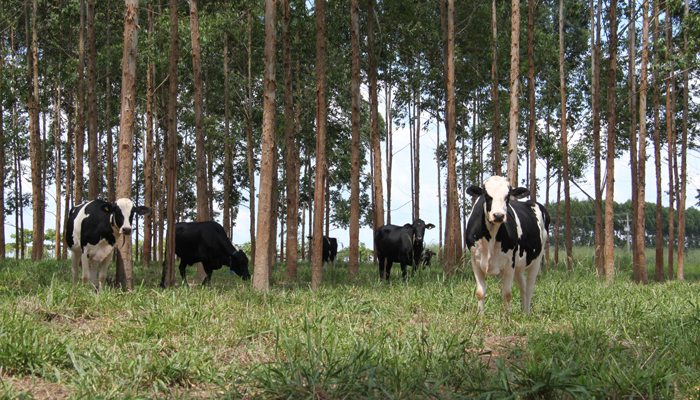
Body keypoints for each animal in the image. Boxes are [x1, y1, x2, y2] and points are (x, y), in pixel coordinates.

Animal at [464, 177, 552, 314]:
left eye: (507, 196)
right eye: (487, 195)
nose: (498, 215)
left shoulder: (510, 263)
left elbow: (507, 293)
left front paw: (508, 315)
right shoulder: (475, 261)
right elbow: (480, 292)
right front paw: (480, 315)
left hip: (537, 258)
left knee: (530, 287)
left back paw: (527, 313)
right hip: (519, 265)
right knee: (523, 286)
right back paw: (524, 312)